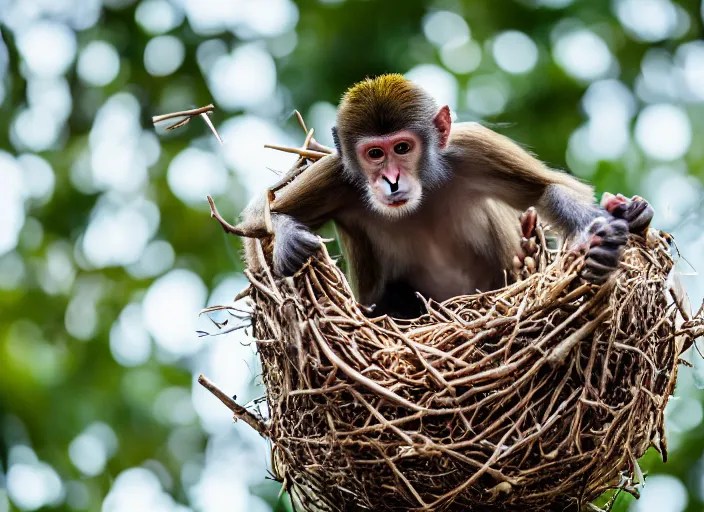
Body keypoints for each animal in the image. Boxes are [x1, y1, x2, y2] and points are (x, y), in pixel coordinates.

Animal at [237, 74, 653, 317]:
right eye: (375, 154)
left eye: (402, 148)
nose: (390, 180)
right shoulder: (337, 174)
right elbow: (260, 221)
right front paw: (289, 238)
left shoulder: (470, 147)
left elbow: (548, 188)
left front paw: (597, 243)